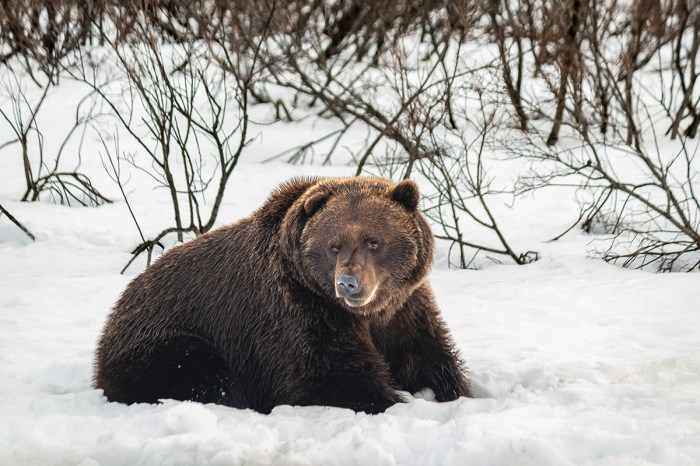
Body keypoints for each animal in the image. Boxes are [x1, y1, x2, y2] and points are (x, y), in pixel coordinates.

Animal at [94, 177, 472, 414]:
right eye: (333, 246)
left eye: (373, 241)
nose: (348, 283)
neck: (365, 314)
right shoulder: (299, 312)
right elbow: (330, 376)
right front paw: (391, 400)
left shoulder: (404, 309)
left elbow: (429, 356)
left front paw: (455, 393)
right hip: (165, 340)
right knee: (203, 373)